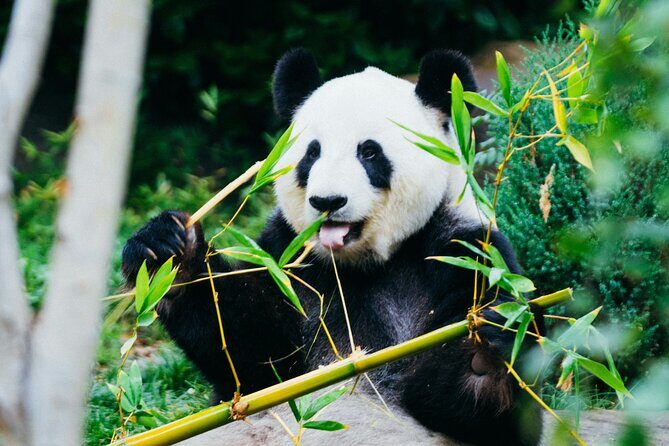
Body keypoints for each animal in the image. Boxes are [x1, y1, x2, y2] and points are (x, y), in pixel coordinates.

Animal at [122, 49, 544, 445]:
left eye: (369, 152)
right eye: (312, 153)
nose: (328, 201)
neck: (364, 264)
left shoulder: (463, 252)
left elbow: (470, 410)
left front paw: (484, 353)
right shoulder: (288, 259)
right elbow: (252, 356)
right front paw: (170, 255)